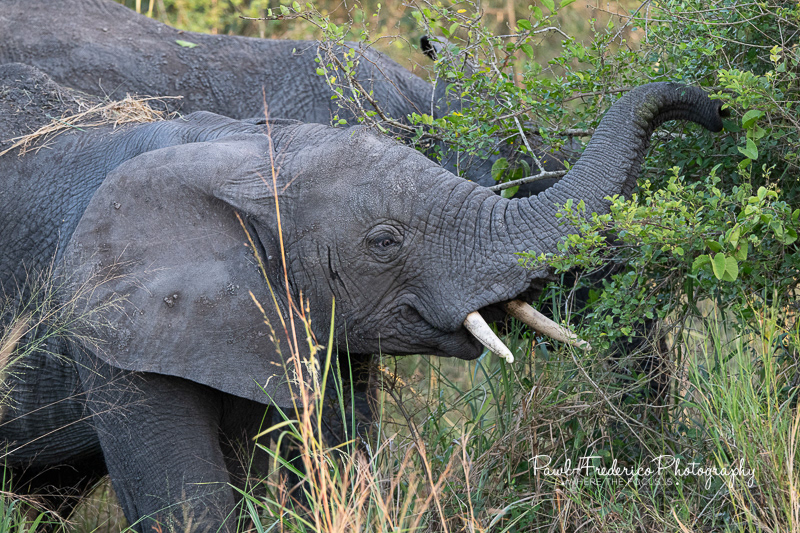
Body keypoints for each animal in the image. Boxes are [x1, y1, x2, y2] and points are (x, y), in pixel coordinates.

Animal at [0, 62, 725, 531]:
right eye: (383, 241)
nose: (719, 108)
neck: (233, 151)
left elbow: (332, 461)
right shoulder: (105, 324)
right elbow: (184, 504)